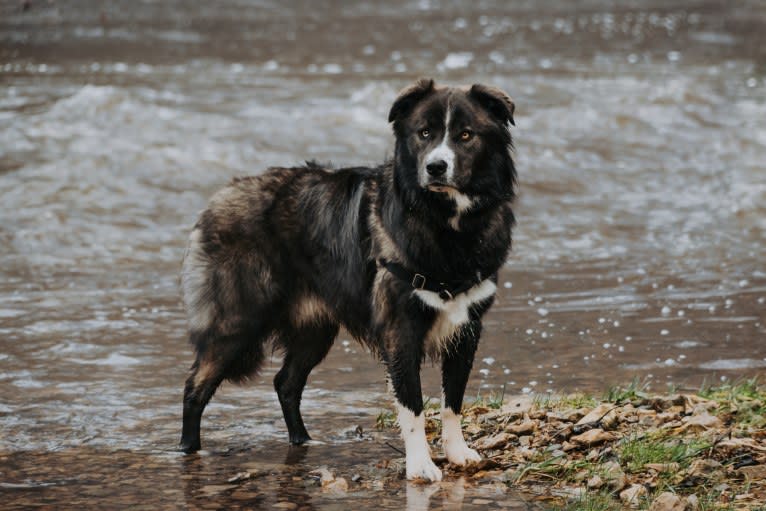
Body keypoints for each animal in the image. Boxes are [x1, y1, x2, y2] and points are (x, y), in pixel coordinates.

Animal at [178, 78, 516, 482]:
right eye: (424, 133)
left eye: (466, 135)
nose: (436, 167)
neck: (445, 223)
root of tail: (218, 198)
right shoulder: (400, 331)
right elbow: (414, 406)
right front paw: (420, 465)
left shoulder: (466, 327)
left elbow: (453, 401)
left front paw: (457, 453)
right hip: (237, 323)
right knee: (195, 386)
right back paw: (188, 450)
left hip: (315, 330)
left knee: (286, 383)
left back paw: (302, 440)